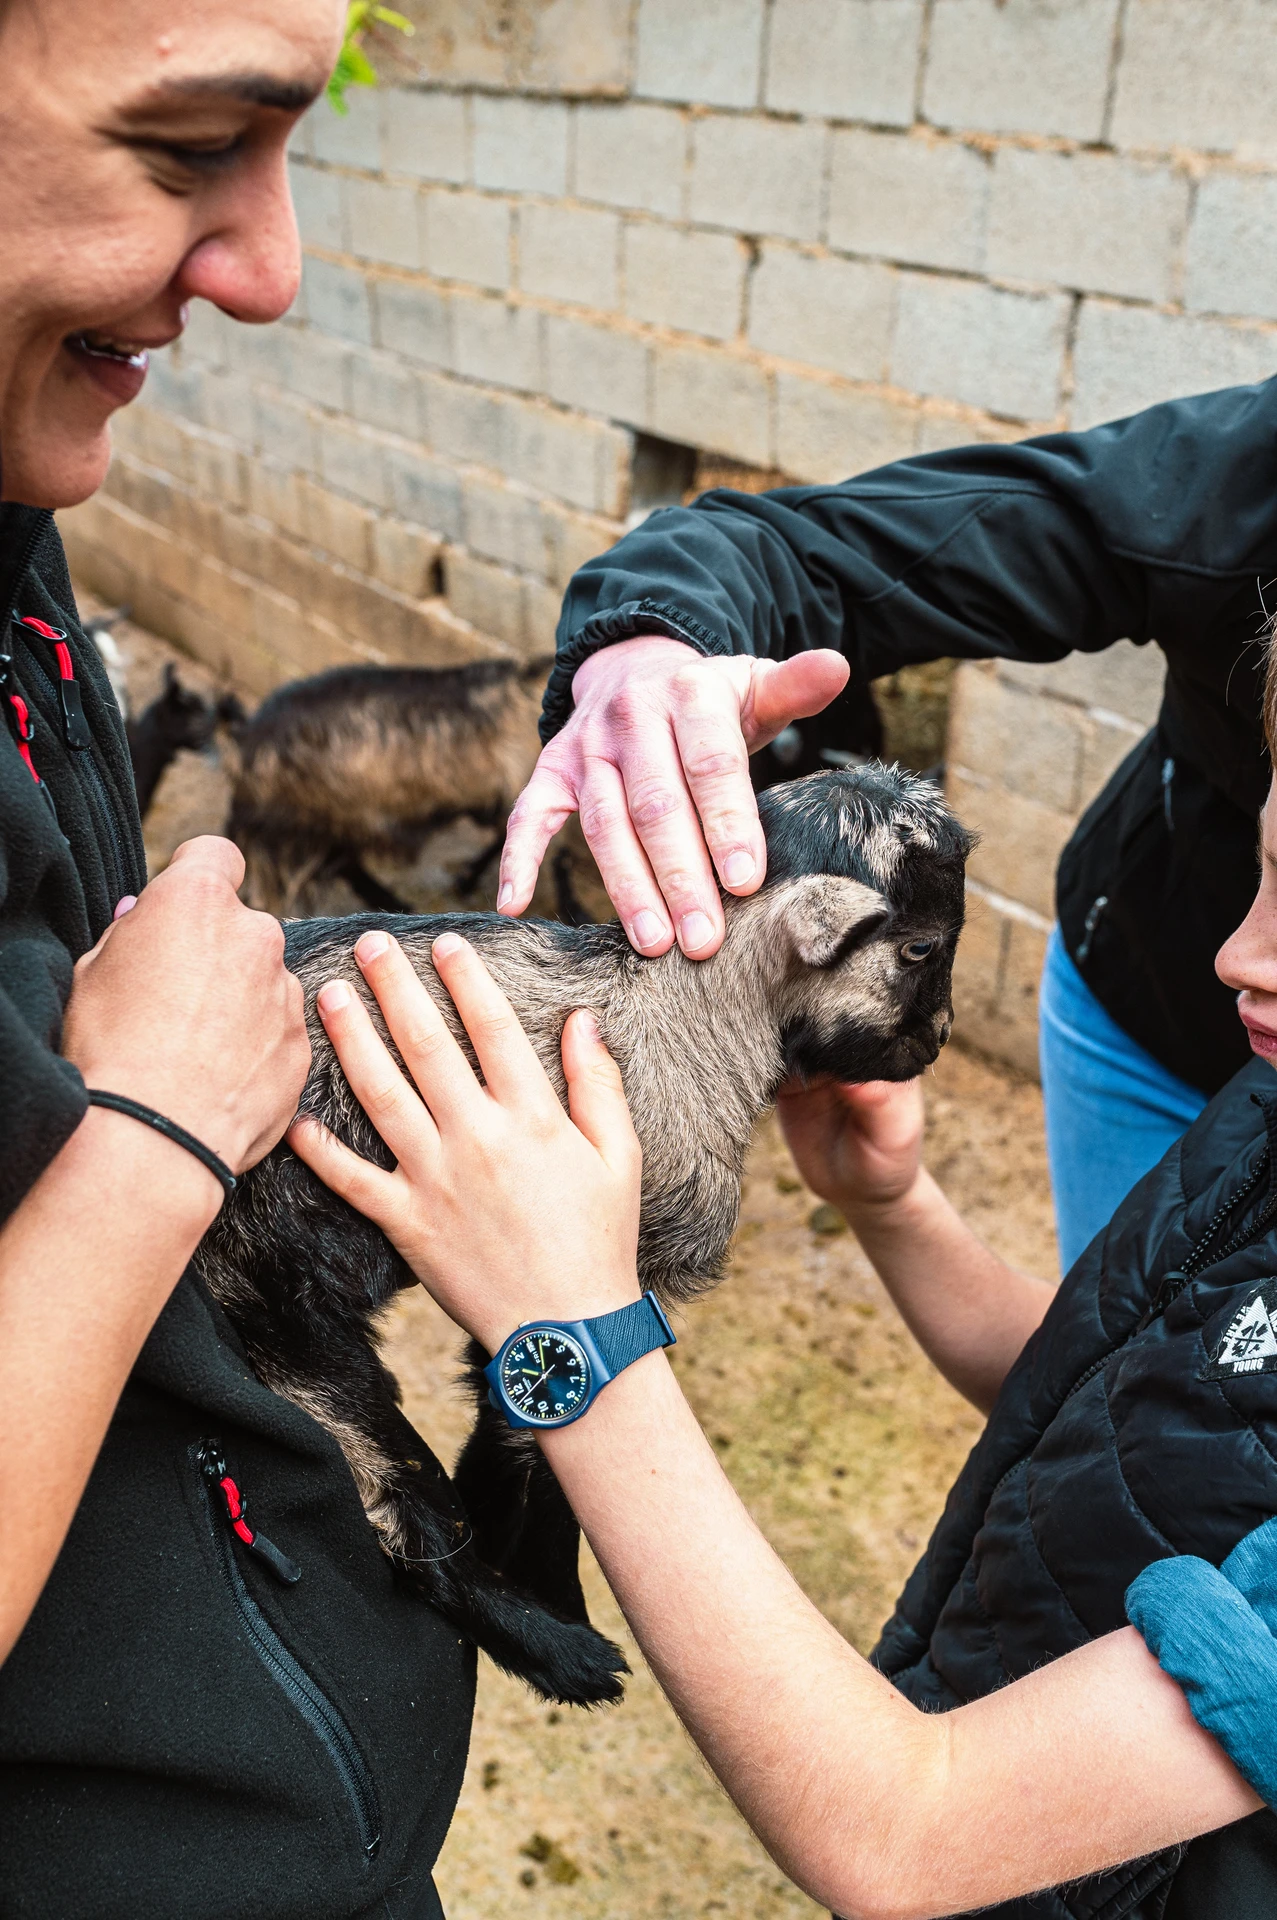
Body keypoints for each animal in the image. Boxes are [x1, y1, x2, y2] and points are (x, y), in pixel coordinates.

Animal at [194, 767, 973, 1707]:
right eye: (922, 947)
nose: (938, 1040)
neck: (677, 1001)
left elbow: (508, 1413)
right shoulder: (619, 1247)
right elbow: (534, 1440)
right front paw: (551, 1589)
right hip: (277, 1302)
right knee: (389, 1502)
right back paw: (563, 1654)